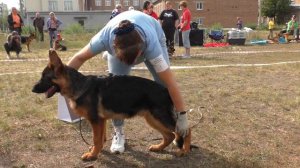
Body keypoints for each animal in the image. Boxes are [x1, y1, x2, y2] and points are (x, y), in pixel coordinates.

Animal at [31, 49, 191, 161]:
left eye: (45, 78)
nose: (32, 89)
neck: (79, 85)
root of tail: (165, 89)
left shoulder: (95, 121)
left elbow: (96, 139)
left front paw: (92, 155)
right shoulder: (101, 121)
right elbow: (100, 138)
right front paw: (96, 151)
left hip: (159, 118)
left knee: (184, 130)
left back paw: (184, 150)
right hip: (152, 119)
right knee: (170, 135)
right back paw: (159, 147)